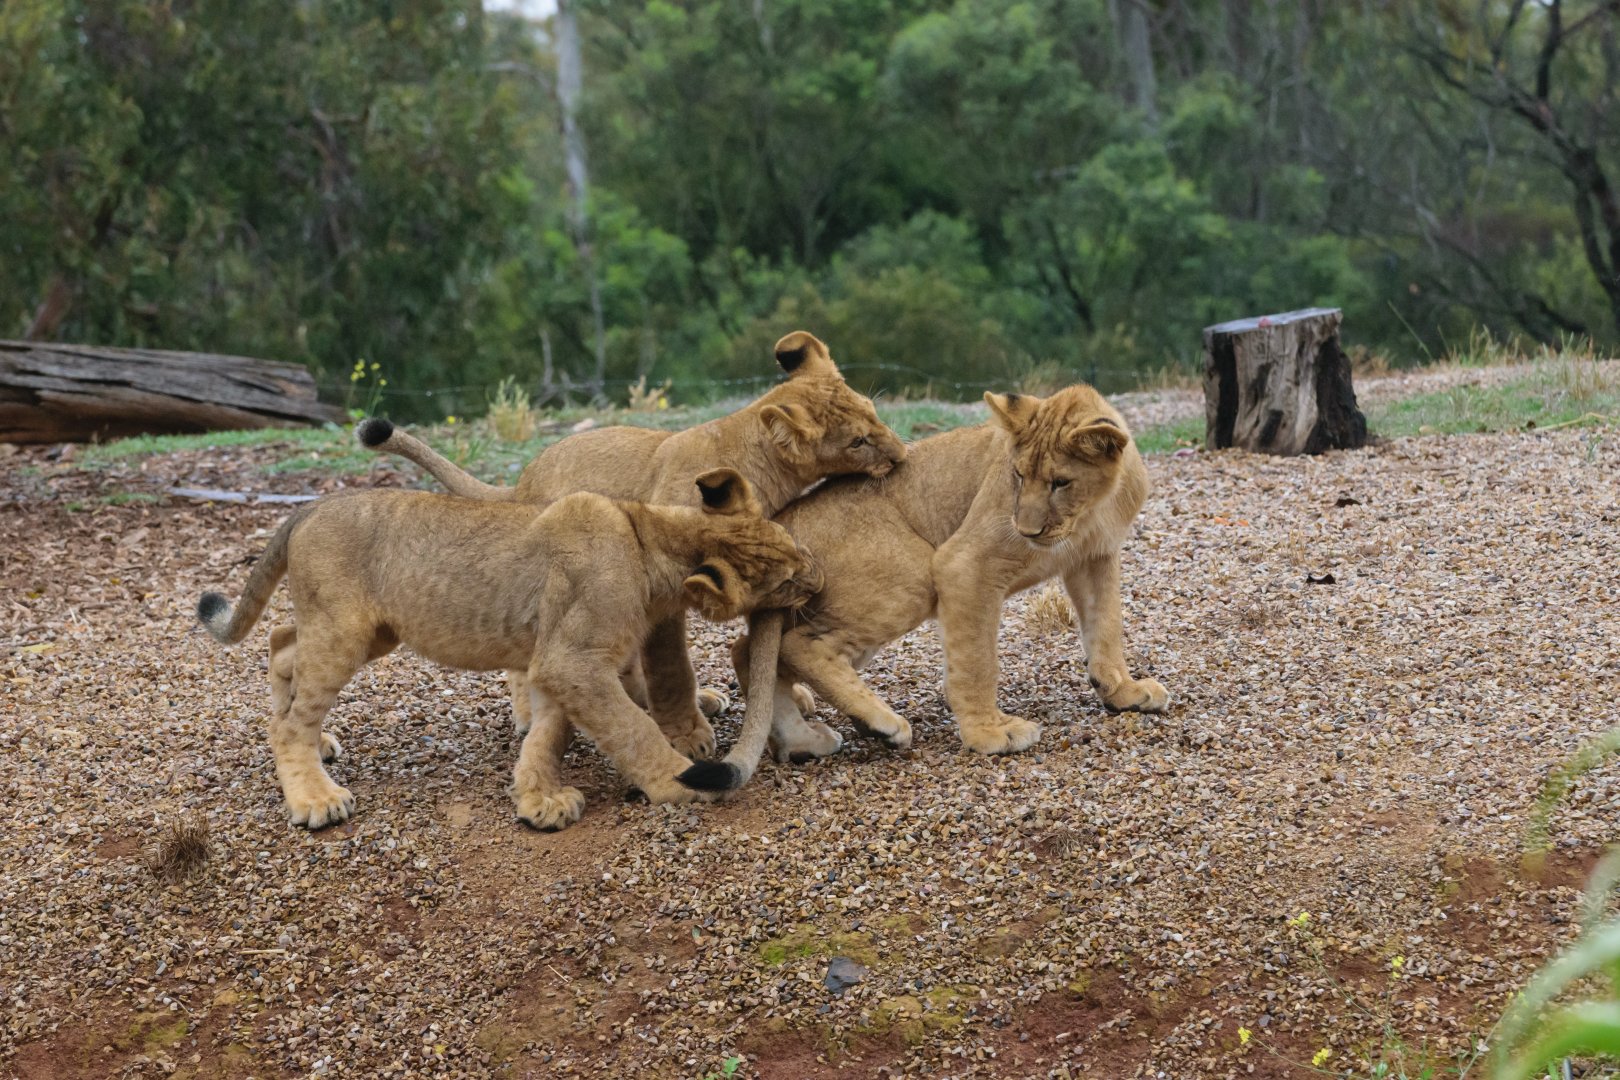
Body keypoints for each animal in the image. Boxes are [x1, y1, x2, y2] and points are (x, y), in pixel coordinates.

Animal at [195, 470, 822, 831]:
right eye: (788, 579)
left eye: (796, 549)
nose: (818, 581)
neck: (651, 539)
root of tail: (310, 507)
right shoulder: (572, 658)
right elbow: (632, 728)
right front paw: (682, 781)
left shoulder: (556, 662)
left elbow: (551, 731)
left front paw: (538, 798)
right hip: (343, 631)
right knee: (288, 719)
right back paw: (314, 798)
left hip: (370, 631)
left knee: (281, 645)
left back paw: (317, 742)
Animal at [356, 331, 905, 760]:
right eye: (857, 442)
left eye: (876, 413)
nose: (901, 456)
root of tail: (522, 480)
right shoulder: (677, 573)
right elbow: (671, 665)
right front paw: (687, 736)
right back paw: (533, 715)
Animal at [680, 385, 1170, 791]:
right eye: (1016, 474)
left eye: (1060, 482)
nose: (1026, 530)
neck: (1091, 511)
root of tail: (780, 524)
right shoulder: (963, 565)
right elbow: (976, 662)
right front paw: (990, 733)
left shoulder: (1096, 558)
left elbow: (1106, 626)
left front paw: (1122, 691)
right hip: (913, 575)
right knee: (797, 645)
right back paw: (882, 725)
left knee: (750, 650)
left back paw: (803, 741)